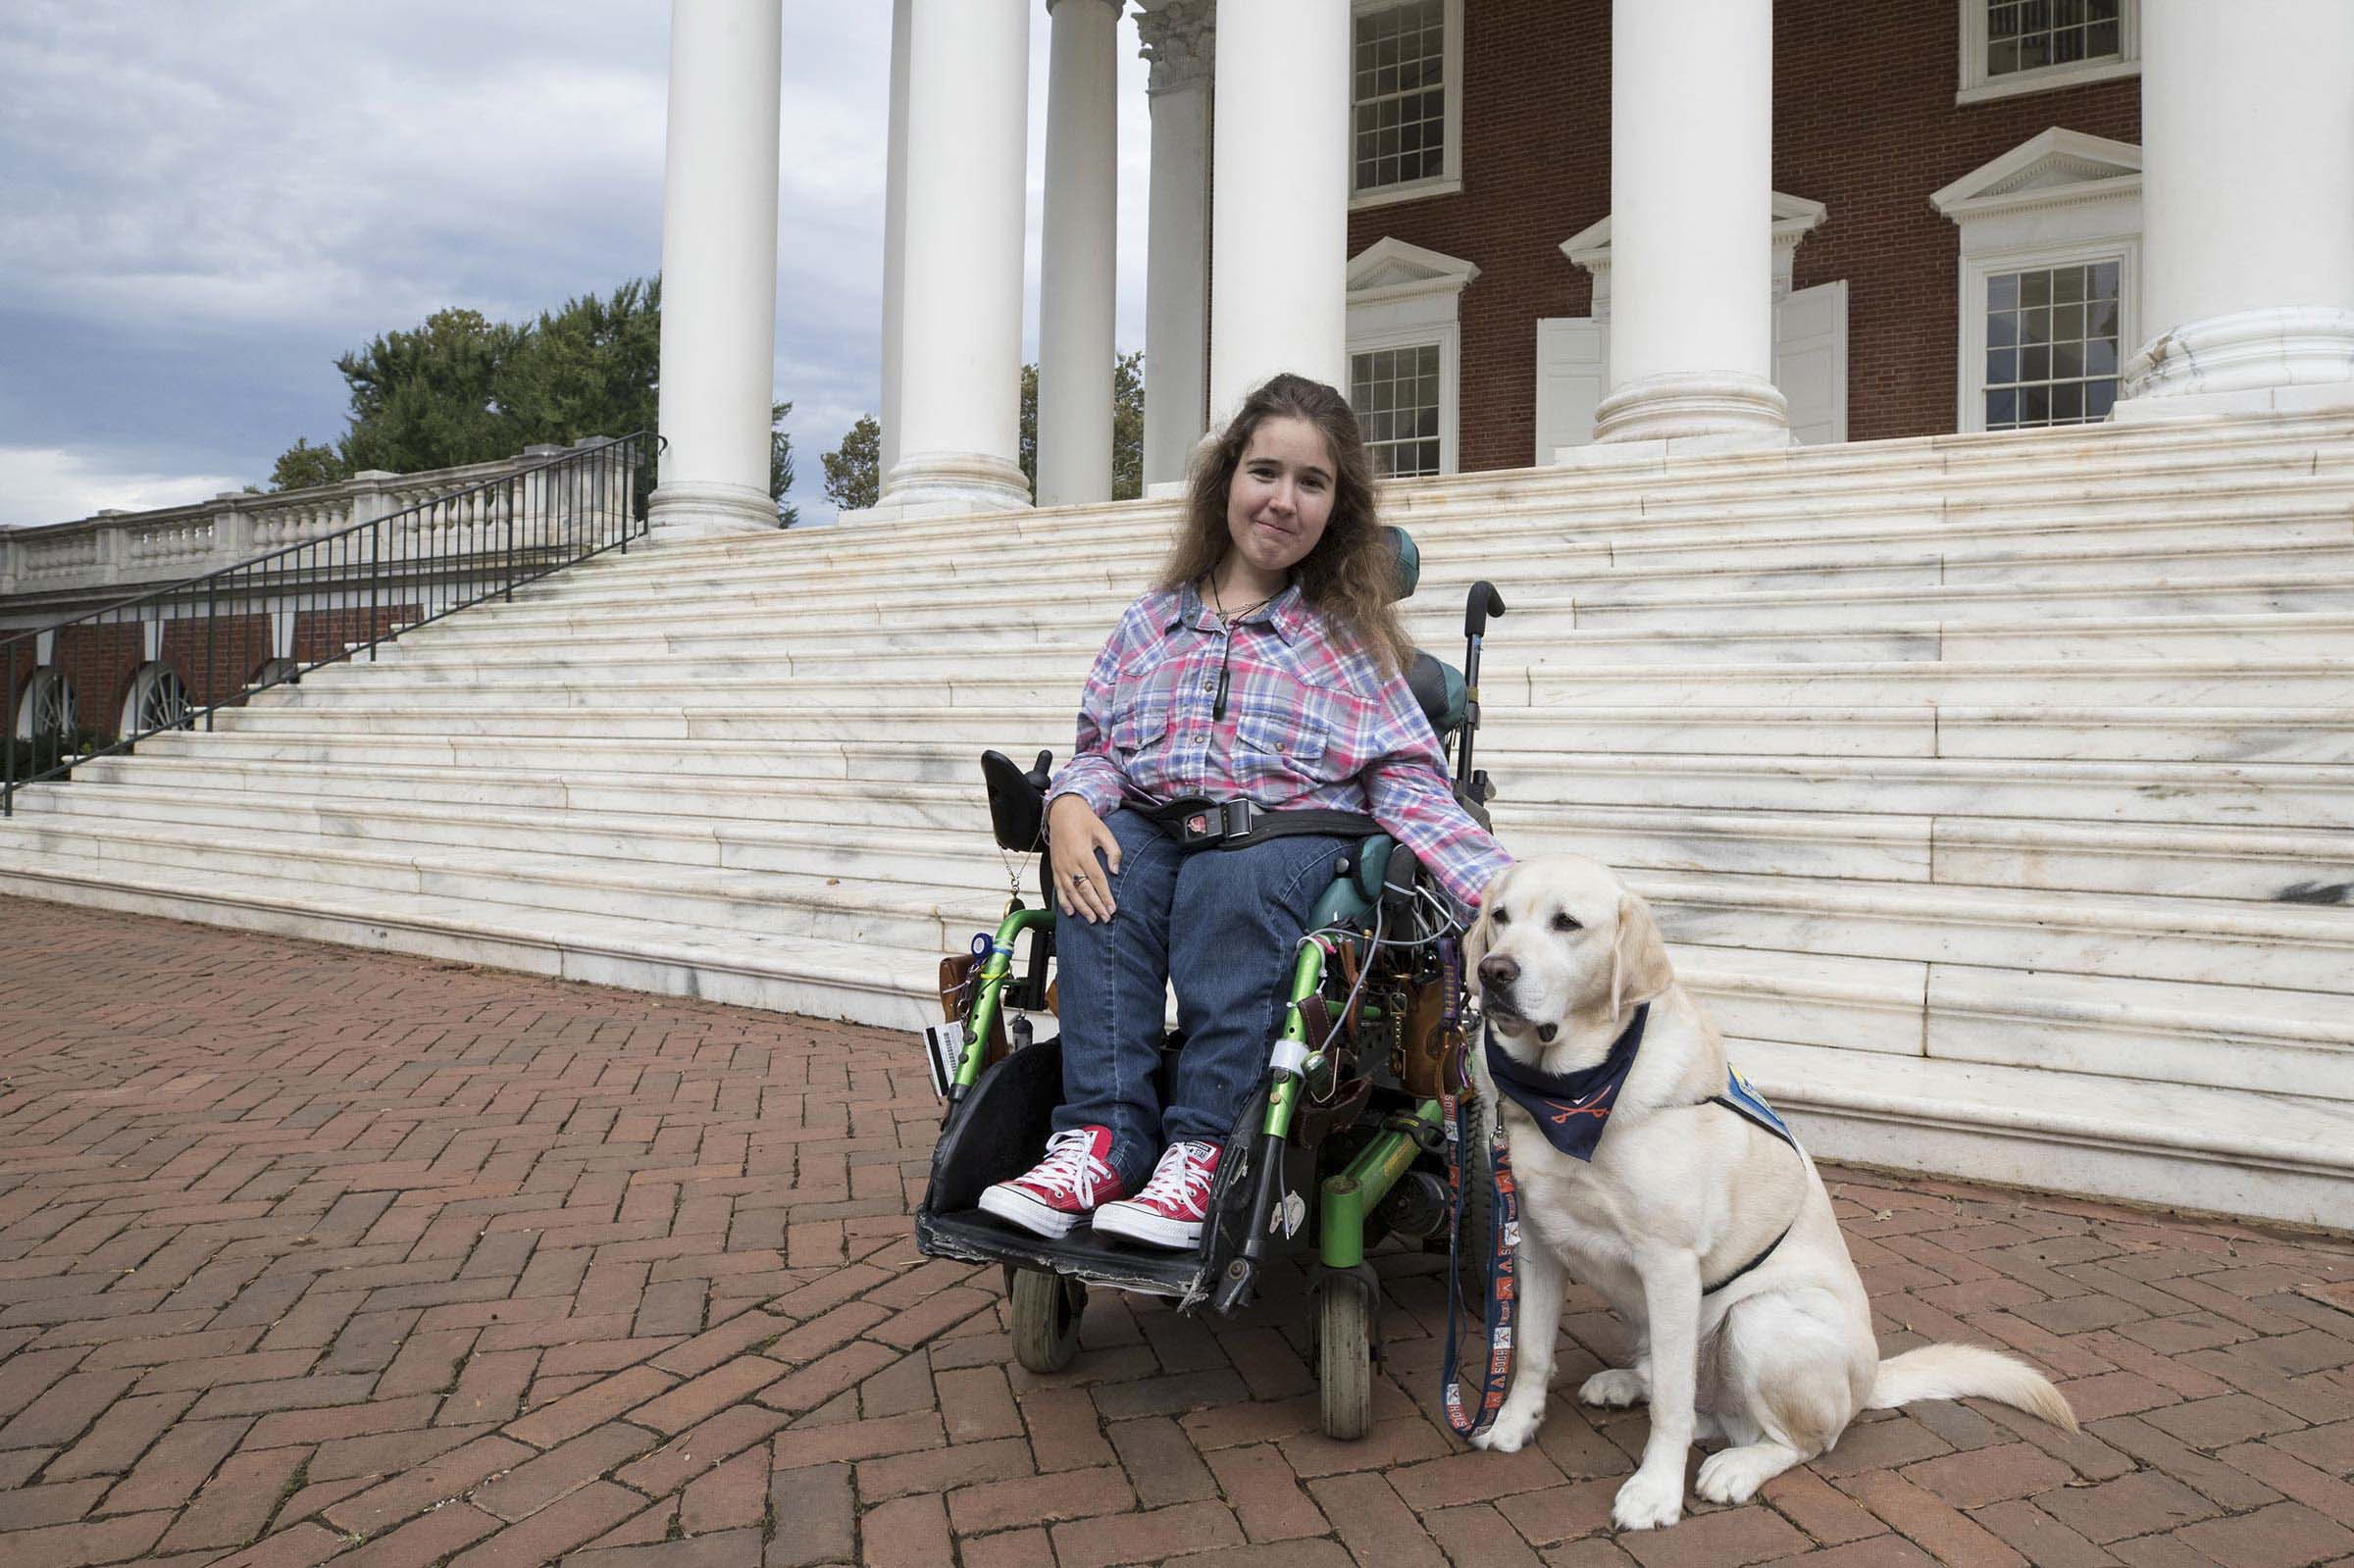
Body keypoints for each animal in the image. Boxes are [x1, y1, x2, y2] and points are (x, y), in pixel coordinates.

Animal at [1468, 856, 2080, 1525]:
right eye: (1499, 917)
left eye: (1567, 923)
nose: (1492, 972)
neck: (1567, 1097)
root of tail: (1870, 1381)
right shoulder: (1533, 1237)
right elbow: (1528, 1350)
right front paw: (1513, 1424)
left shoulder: (1668, 1262)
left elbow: (1672, 1408)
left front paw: (1655, 1491)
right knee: (1695, 1401)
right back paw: (1625, 1384)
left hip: (1760, 1319)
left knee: (1792, 1437)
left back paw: (1737, 1467)